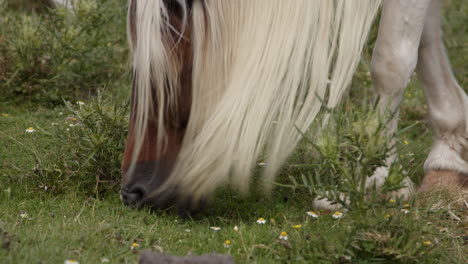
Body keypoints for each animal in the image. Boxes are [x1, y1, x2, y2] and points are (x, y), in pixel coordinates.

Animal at [119, 0, 468, 213]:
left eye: (162, 74)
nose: (133, 192)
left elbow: (392, 61)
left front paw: (378, 178)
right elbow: (425, 44)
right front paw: (448, 153)